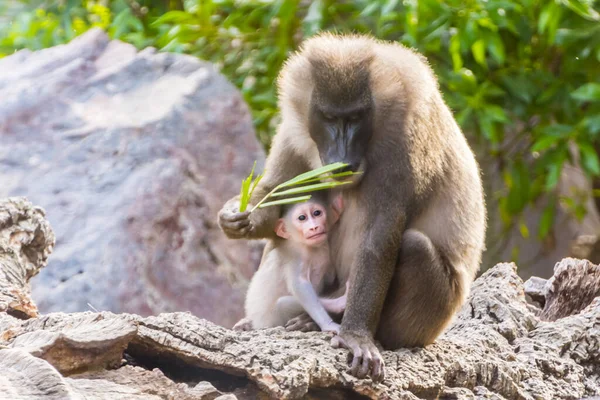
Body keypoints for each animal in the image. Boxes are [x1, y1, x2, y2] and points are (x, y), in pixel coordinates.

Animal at [233, 192, 346, 332]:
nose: (314, 227)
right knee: (283, 304)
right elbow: (300, 286)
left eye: (317, 213)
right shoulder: (294, 257)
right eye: (302, 218)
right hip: (273, 320)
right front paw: (328, 324)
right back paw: (337, 304)